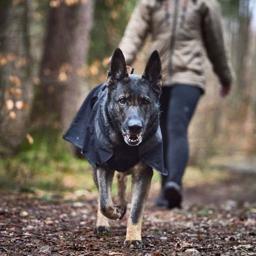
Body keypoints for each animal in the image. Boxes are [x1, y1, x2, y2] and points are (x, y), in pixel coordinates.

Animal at [64, 48, 167, 248]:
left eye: (145, 102)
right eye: (122, 101)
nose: (135, 127)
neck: (124, 145)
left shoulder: (143, 173)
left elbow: (136, 210)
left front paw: (133, 237)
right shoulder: (103, 166)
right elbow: (104, 202)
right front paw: (113, 213)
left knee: (121, 181)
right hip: (96, 168)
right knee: (104, 194)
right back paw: (104, 222)